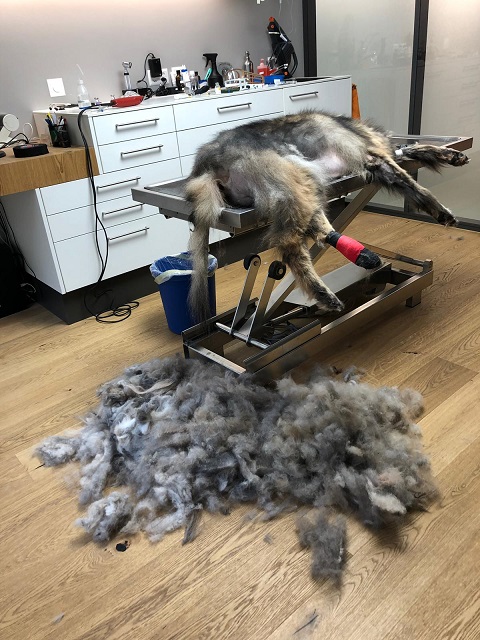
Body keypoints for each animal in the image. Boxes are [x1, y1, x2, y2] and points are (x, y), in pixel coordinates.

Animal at [185, 110, 469, 321]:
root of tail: (207, 166)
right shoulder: (372, 156)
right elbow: (413, 181)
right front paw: (441, 207)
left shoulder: (376, 158)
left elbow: (410, 152)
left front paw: (449, 156)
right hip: (294, 185)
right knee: (290, 243)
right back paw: (323, 293)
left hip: (307, 183)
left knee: (321, 230)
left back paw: (362, 256)